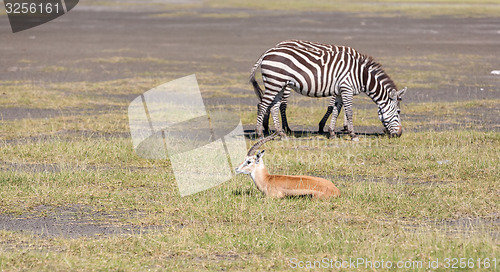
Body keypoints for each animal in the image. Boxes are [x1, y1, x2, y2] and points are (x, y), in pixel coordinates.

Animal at [250, 39, 406, 140]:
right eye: (398, 112)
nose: (399, 134)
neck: (361, 75)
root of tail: (268, 51)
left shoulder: (339, 91)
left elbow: (336, 110)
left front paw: (331, 133)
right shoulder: (346, 88)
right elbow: (348, 112)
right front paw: (352, 134)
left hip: (280, 84)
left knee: (274, 106)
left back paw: (280, 133)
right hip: (275, 82)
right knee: (264, 104)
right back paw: (261, 132)